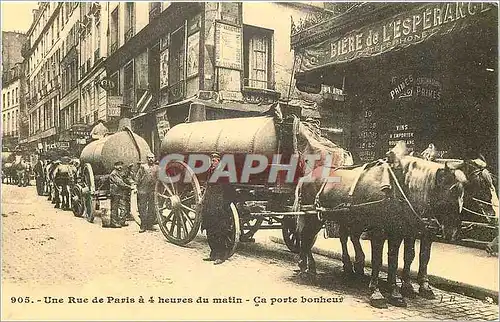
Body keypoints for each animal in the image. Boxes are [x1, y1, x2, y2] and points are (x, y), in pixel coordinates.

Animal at [296, 145, 464, 308]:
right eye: (452, 191)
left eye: (463, 192)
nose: (453, 232)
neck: (398, 186)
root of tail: (307, 175)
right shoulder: (379, 231)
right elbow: (378, 260)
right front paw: (377, 292)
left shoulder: (400, 232)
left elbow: (398, 259)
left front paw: (396, 291)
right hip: (313, 216)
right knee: (306, 238)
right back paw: (306, 268)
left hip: (344, 218)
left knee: (342, 237)